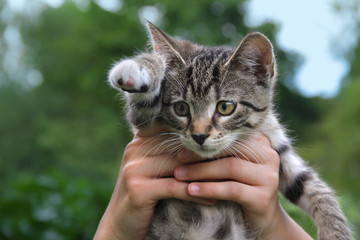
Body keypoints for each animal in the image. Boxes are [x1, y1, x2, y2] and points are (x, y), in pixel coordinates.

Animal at [107, 21, 352, 239]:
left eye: (225, 107)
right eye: (181, 108)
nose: (199, 135)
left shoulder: (277, 144)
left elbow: (312, 186)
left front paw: (336, 231)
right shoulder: (144, 120)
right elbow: (142, 102)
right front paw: (137, 68)